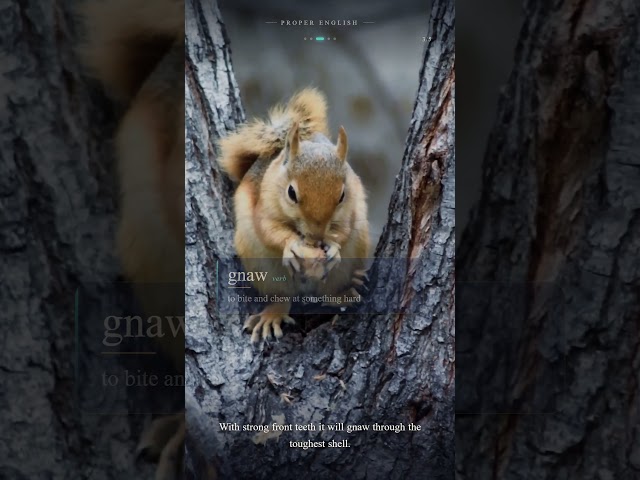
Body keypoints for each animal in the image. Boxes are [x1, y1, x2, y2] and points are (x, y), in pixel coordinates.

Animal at [218, 88, 370, 343]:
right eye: (291, 192)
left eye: (342, 195)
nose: (317, 237)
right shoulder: (264, 206)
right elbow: (270, 229)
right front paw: (292, 245)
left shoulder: (351, 209)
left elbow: (343, 230)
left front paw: (333, 246)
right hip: (263, 267)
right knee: (281, 296)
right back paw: (272, 315)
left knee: (328, 291)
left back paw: (344, 292)